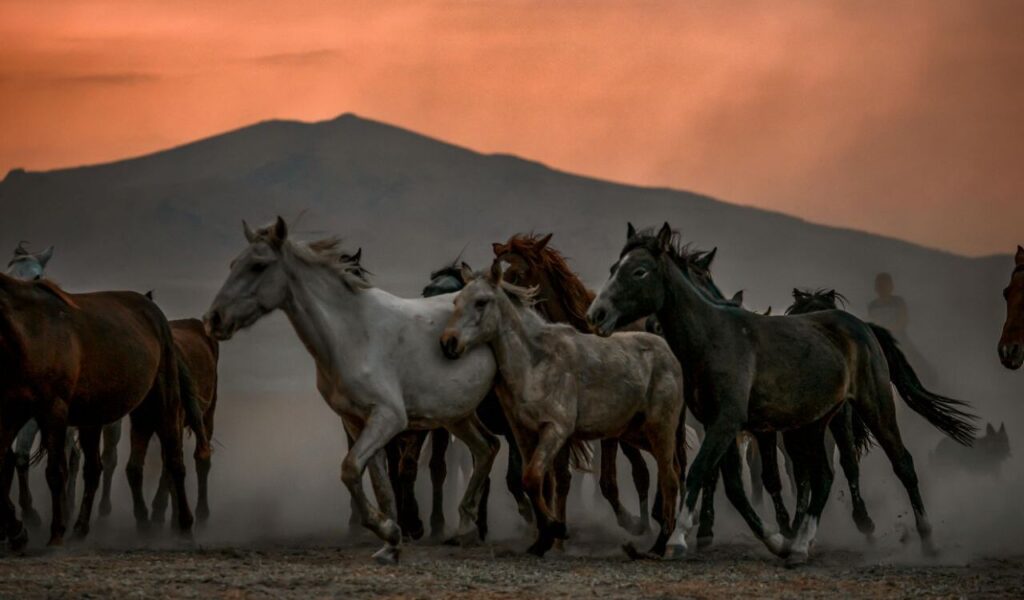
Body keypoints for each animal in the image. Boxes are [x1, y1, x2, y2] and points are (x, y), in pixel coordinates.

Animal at [0, 273, 206, 550]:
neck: (30, 331)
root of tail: (156, 314)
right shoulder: (12, 411)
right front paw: (17, 532)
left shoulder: (53, 410)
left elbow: (55, 472)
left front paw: (55, 535)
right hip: (94, 419)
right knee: (94, 470)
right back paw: (80, 529)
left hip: (164, 404)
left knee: (174, 461)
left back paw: (184, 528)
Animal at [5, 243, 123, 527]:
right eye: (8, 273)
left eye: (37, 276)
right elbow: (18, 457)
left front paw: (31, 514)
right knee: (74, 457)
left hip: (110, 421)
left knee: (108, 458)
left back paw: (100, 509)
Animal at [203, 218, 499, 564]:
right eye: (233, 264)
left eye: (258, 265)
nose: (213, 319)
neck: (353, 333)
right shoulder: (358, 421)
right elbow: (378, 482)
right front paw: (391, 544)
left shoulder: (389, 418)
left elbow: (350, 469)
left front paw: (390, 532)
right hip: (457, 415)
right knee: (487, 448)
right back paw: (466, 526)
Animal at [440, 260, 684, 558]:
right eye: (456, 301)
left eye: (481, 302)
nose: (449, 342)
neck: (534, 362)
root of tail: (668, 353)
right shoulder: (523, 434)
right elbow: (539, 483)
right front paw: (543, 539)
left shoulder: (556, 429)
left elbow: (533, 478)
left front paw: (555, 529)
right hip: (636, 433)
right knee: (673, 471)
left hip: (660, 429)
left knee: (670, 478)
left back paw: (659, 546)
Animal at [588, 223, 977, 565]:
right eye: (613, 268)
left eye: (639, 271)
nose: (597, 314)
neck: (714, 337)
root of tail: (863, 327)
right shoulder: (718, 423)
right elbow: (733, 486)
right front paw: (776, 541)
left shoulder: (729, 421)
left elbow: (701, 472)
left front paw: (679, 540)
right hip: (814, 423)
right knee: (822, 476)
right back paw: (800, 547)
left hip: (872, 406)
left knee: (901, 463)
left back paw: (927, 541)